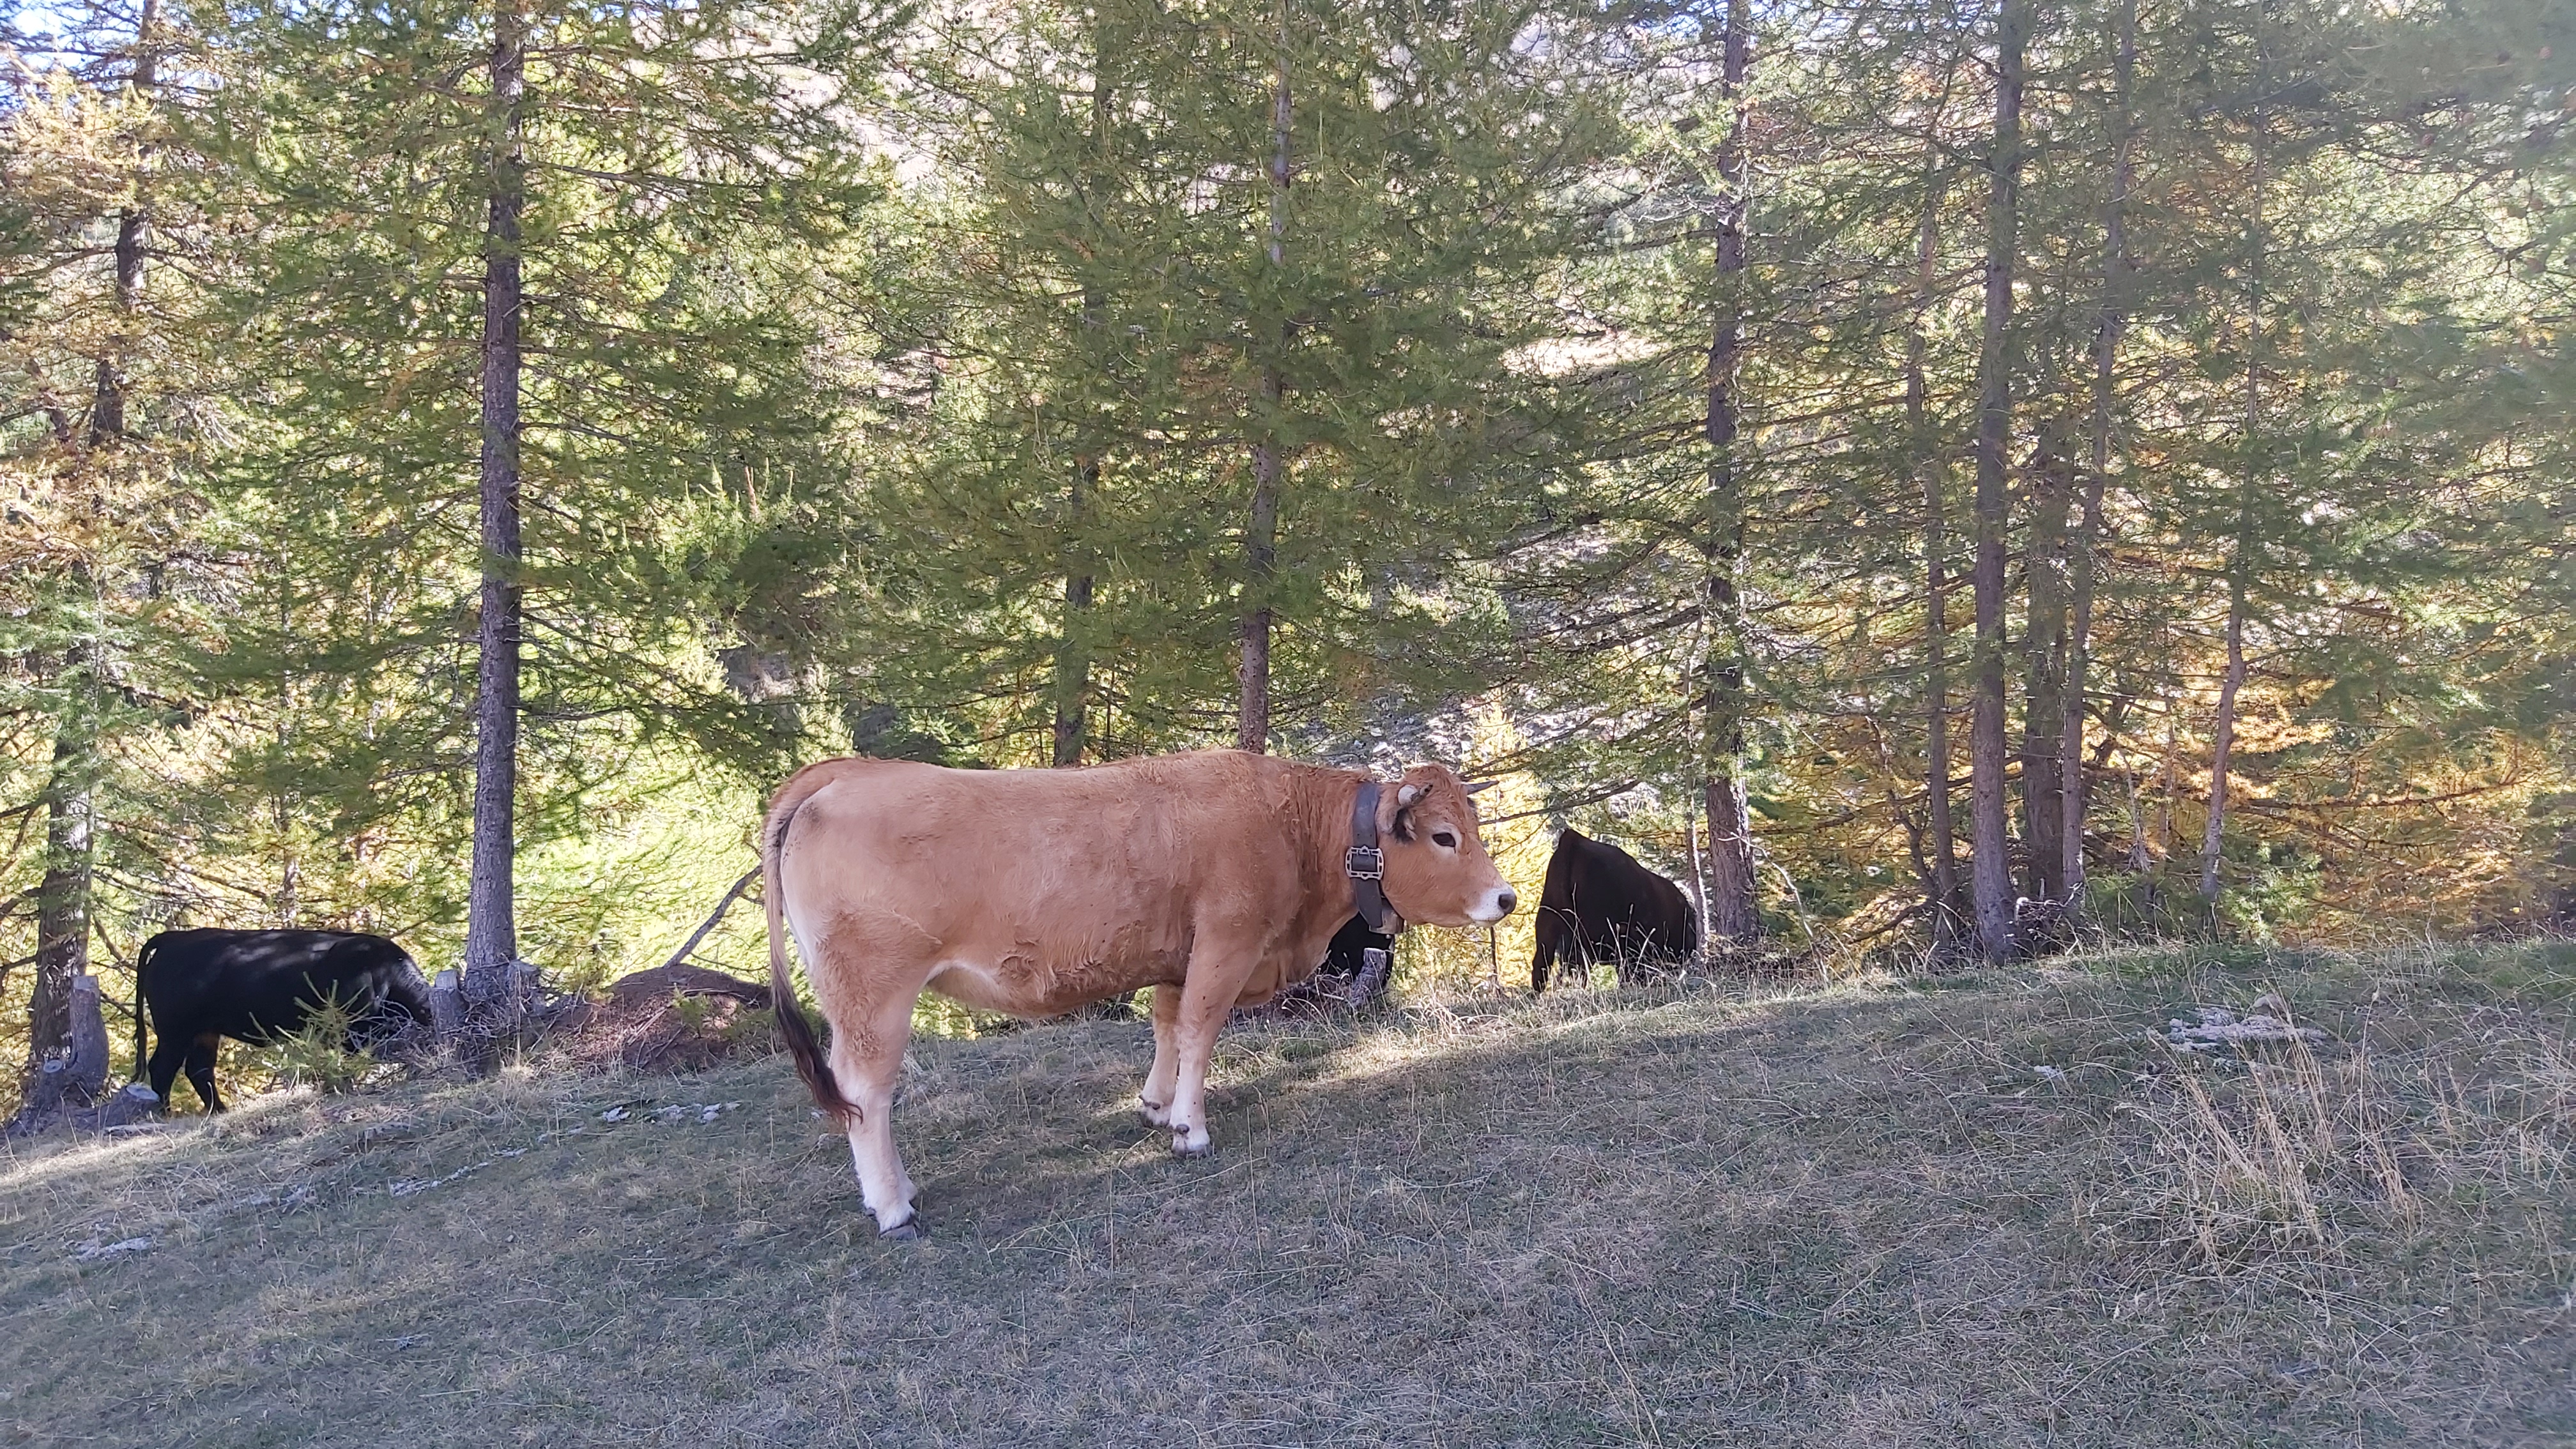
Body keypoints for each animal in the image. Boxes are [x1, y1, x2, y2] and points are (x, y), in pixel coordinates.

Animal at [137, 928, 432, 1112]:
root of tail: (174, 938)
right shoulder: (350, 1030)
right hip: (176, 1032)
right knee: (162, 1069)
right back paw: (163, 1113)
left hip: (204, 1032)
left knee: (199, 1070)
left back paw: (219, 1110)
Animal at [762, 748, 1517, 1239]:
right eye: (1445, 836)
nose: (1507, 897)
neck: (1293, 826)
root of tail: (846, 774)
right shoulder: (1227, 941)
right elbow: (1201, 1030)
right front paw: (1190, 1129)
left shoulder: (1178, 957)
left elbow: (1167, 1026)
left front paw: (1157, 1105)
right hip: (872, 995)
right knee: (865, 1092)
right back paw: (893, 1205)